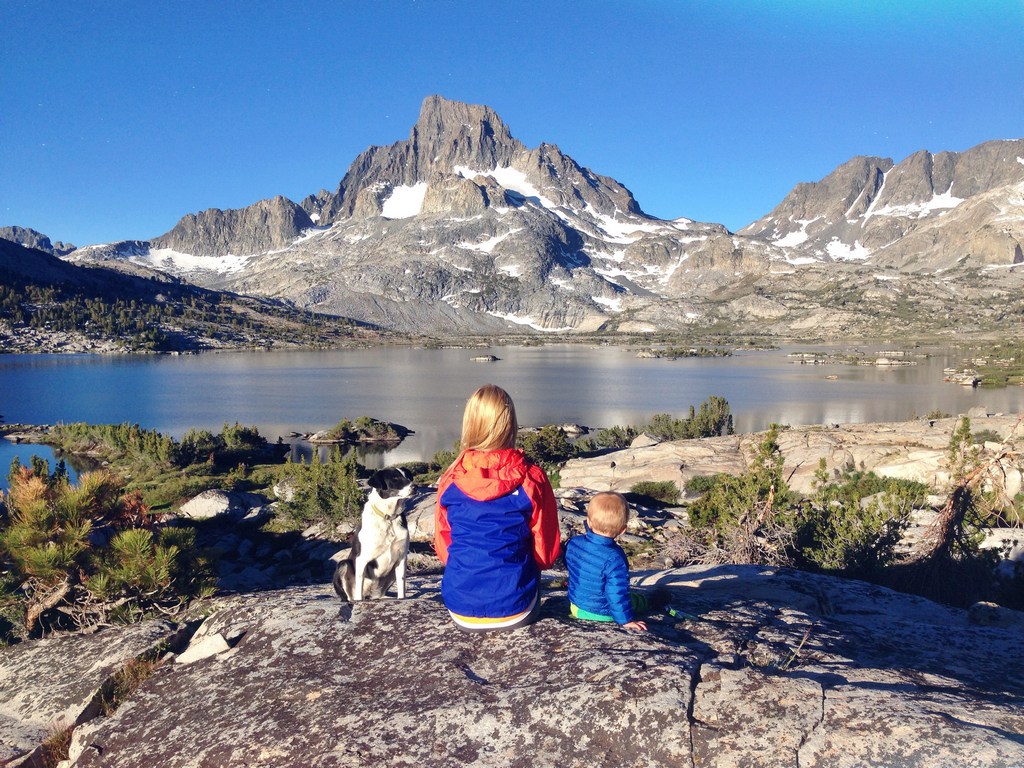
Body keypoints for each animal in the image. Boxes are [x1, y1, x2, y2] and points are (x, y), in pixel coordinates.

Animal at [335, 466, 415, 606]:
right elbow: (359, 583)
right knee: (350, 596)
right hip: (343, 564)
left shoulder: (401, 557)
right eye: (395, 478)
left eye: (409, 477)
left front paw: (402, 599)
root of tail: (369, 596)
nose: (415, 487)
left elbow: (402, 584)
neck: (388, 517)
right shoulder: (361, 559)